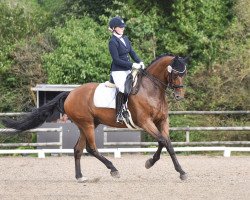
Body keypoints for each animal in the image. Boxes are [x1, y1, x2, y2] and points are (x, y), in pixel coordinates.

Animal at [2, 54, 188, 182]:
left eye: (184, 73)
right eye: (175, 73)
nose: (179, 96)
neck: (150, 90)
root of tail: (71, 93)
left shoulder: (161, 121)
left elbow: (167, 143)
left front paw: (177, 170)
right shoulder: (145, 122)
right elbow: (163, 141)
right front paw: (155, 164)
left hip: (87, 125)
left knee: (77, 149)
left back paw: (80, 177)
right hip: (87, 124)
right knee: (91, 149)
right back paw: (113, 169)